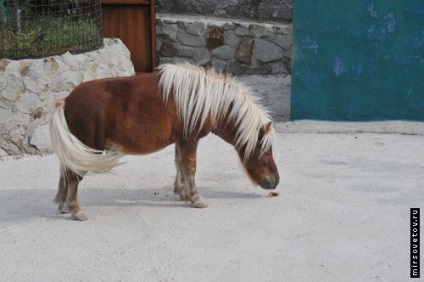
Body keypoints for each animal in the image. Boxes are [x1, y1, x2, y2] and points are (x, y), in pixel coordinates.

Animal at [49, 63, 280, 220]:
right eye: (266, 151)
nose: (275, 181)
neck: (206, 101)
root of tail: (66, 102)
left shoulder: (181, 140)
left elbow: (179, 165)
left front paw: (183, 192)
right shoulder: (189, 139)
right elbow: (190, 168)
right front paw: (196, 198)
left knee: (65, 172)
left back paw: (63, 205)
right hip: (87, 149)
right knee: (73, 176)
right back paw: (75, 210)